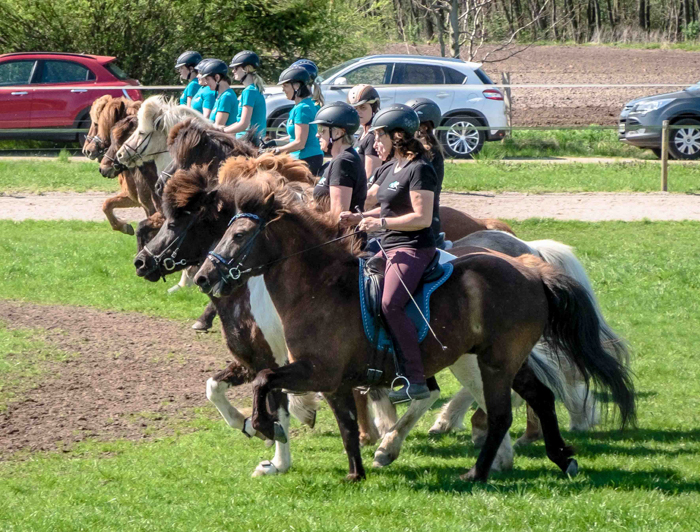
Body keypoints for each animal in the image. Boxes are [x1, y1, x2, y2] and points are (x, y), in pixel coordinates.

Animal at [194, 174, 636, 482]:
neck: (319, 288)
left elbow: (265, 381)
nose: (203, 277)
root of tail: (529, 268)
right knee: (540, 397)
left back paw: (477, 469)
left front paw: (263, 426)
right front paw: (354, 472)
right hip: (507, 359)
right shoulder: (332, 380)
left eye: (239, 234)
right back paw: (562, 458)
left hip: (493, 363)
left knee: (499, 413)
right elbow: (347, 425)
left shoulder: (316, 371)